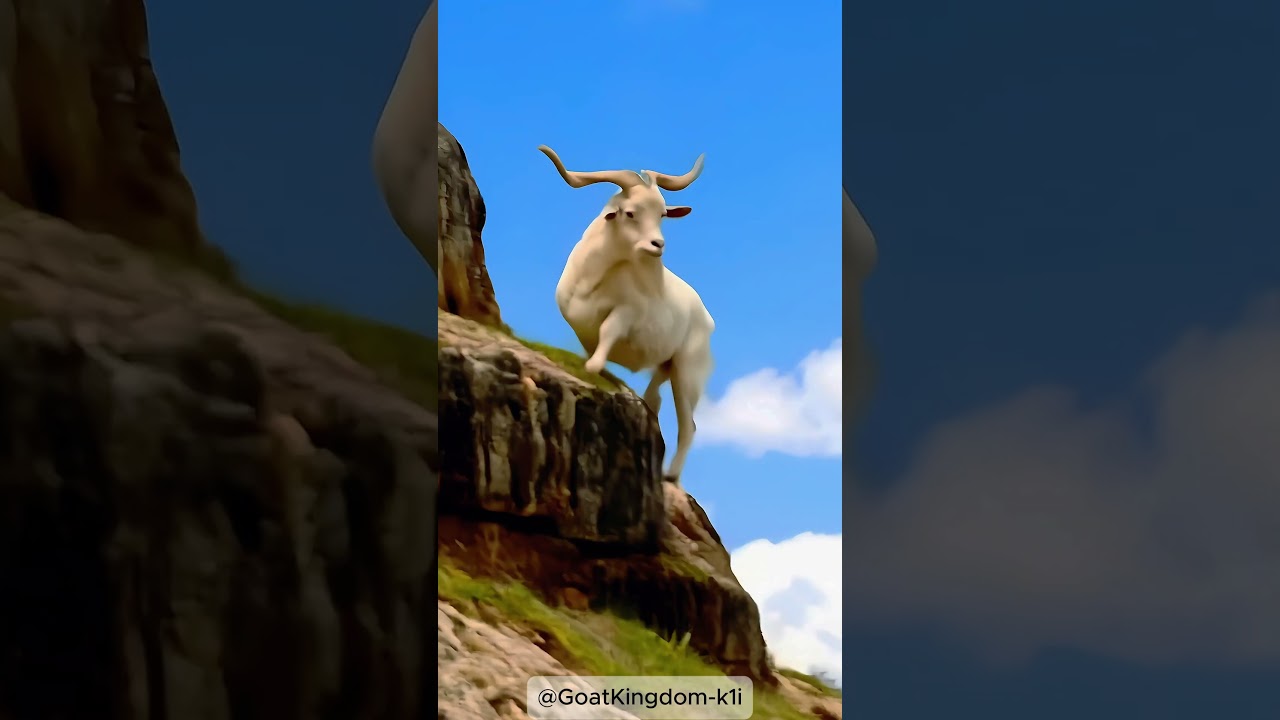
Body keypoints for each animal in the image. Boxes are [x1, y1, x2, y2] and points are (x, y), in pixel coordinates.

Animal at [537, 145, 715, 485]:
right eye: (630, 212)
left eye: (662, 214)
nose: (658, 245)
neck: (592, 278)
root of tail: (706, 316)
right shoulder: (581, 328)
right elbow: (593, 349)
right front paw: (600, 371)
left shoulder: (627, 313)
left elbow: (606, 335)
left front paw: (598, 371)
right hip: (665, 365)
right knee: (655, 399)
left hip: (687, 371)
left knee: (688, 426)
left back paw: (670, 475)